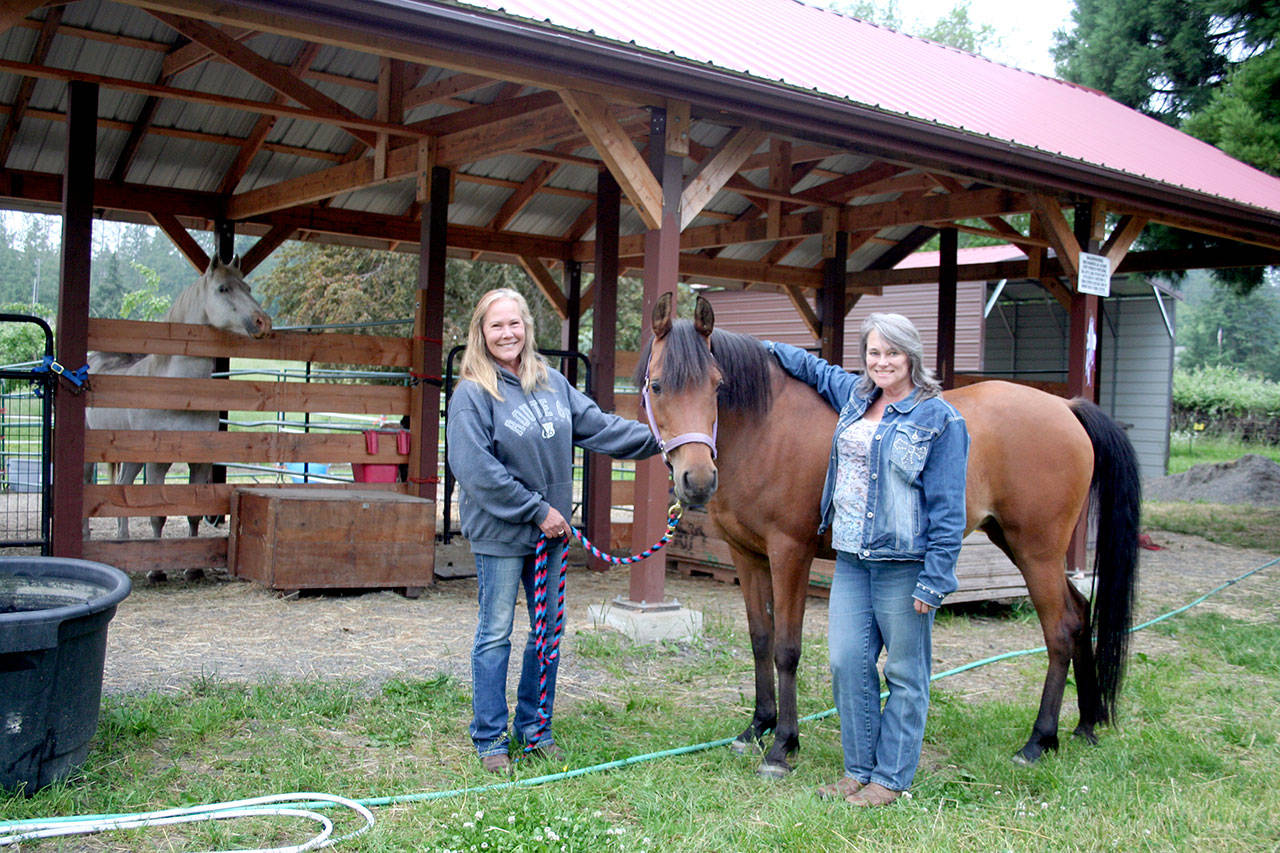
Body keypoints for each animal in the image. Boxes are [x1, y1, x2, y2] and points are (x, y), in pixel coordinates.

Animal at [85, 256, 272, 540]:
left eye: (247, 288)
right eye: (223, 289)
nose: (263, 321)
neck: (180, 395)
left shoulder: (199, 462)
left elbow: (193, 513)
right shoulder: (157, 463)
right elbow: (157, 515)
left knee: (123, 485)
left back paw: (123, 537)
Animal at [637, 292, 1140, 778]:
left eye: (717, 386)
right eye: (657, 385)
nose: (698, 480)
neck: (765, 428)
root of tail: (1065, 407)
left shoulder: (790, 553)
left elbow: (786, 649)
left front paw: (783, 746)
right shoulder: (746, 554)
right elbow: (760, 639)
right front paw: (757, 728)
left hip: (1037, 551)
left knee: (1061, 628)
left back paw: (1039, 741)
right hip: (1018, 544)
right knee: (1080, 613)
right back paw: (1085, 725)